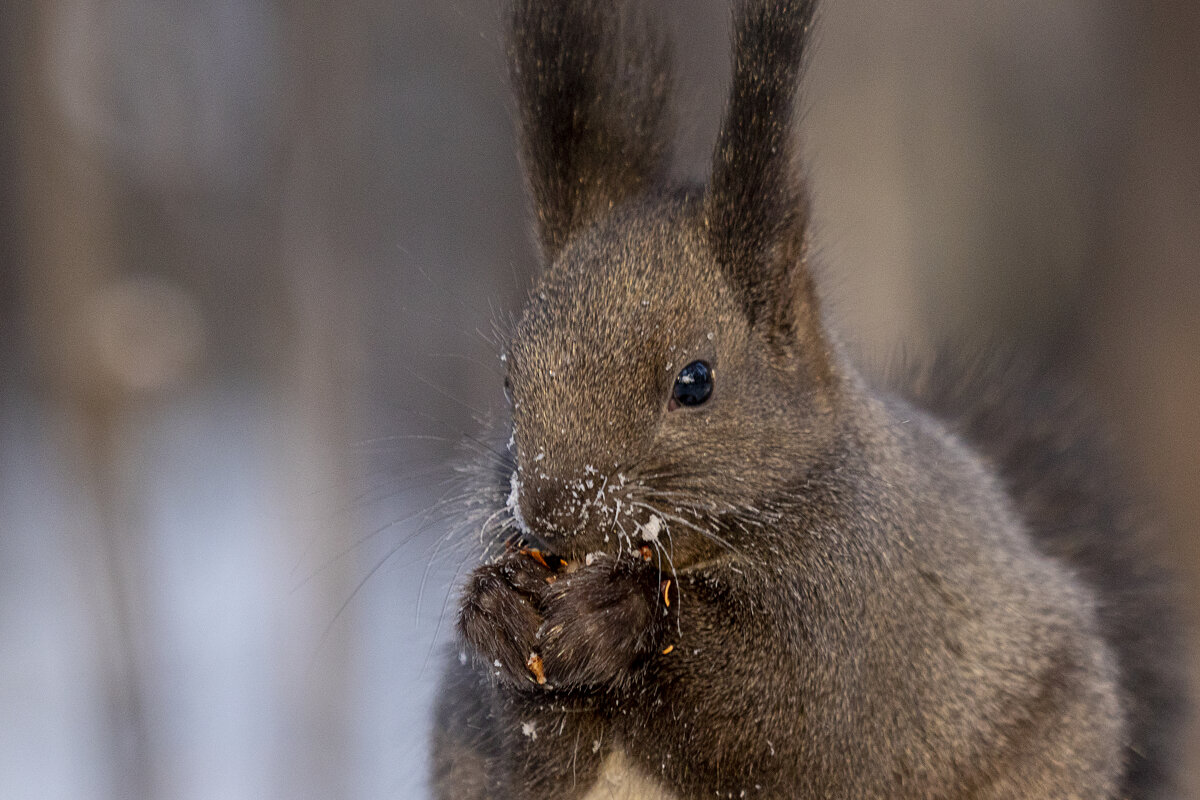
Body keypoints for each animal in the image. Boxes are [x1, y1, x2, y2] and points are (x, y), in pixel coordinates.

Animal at [429, 1, 1180, 800]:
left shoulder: (859, 603)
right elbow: (525, 756)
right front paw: (498, 611)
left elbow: (783, 712)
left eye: (694, 382)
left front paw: (617, 613)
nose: (549, 512)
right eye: (510, 379)